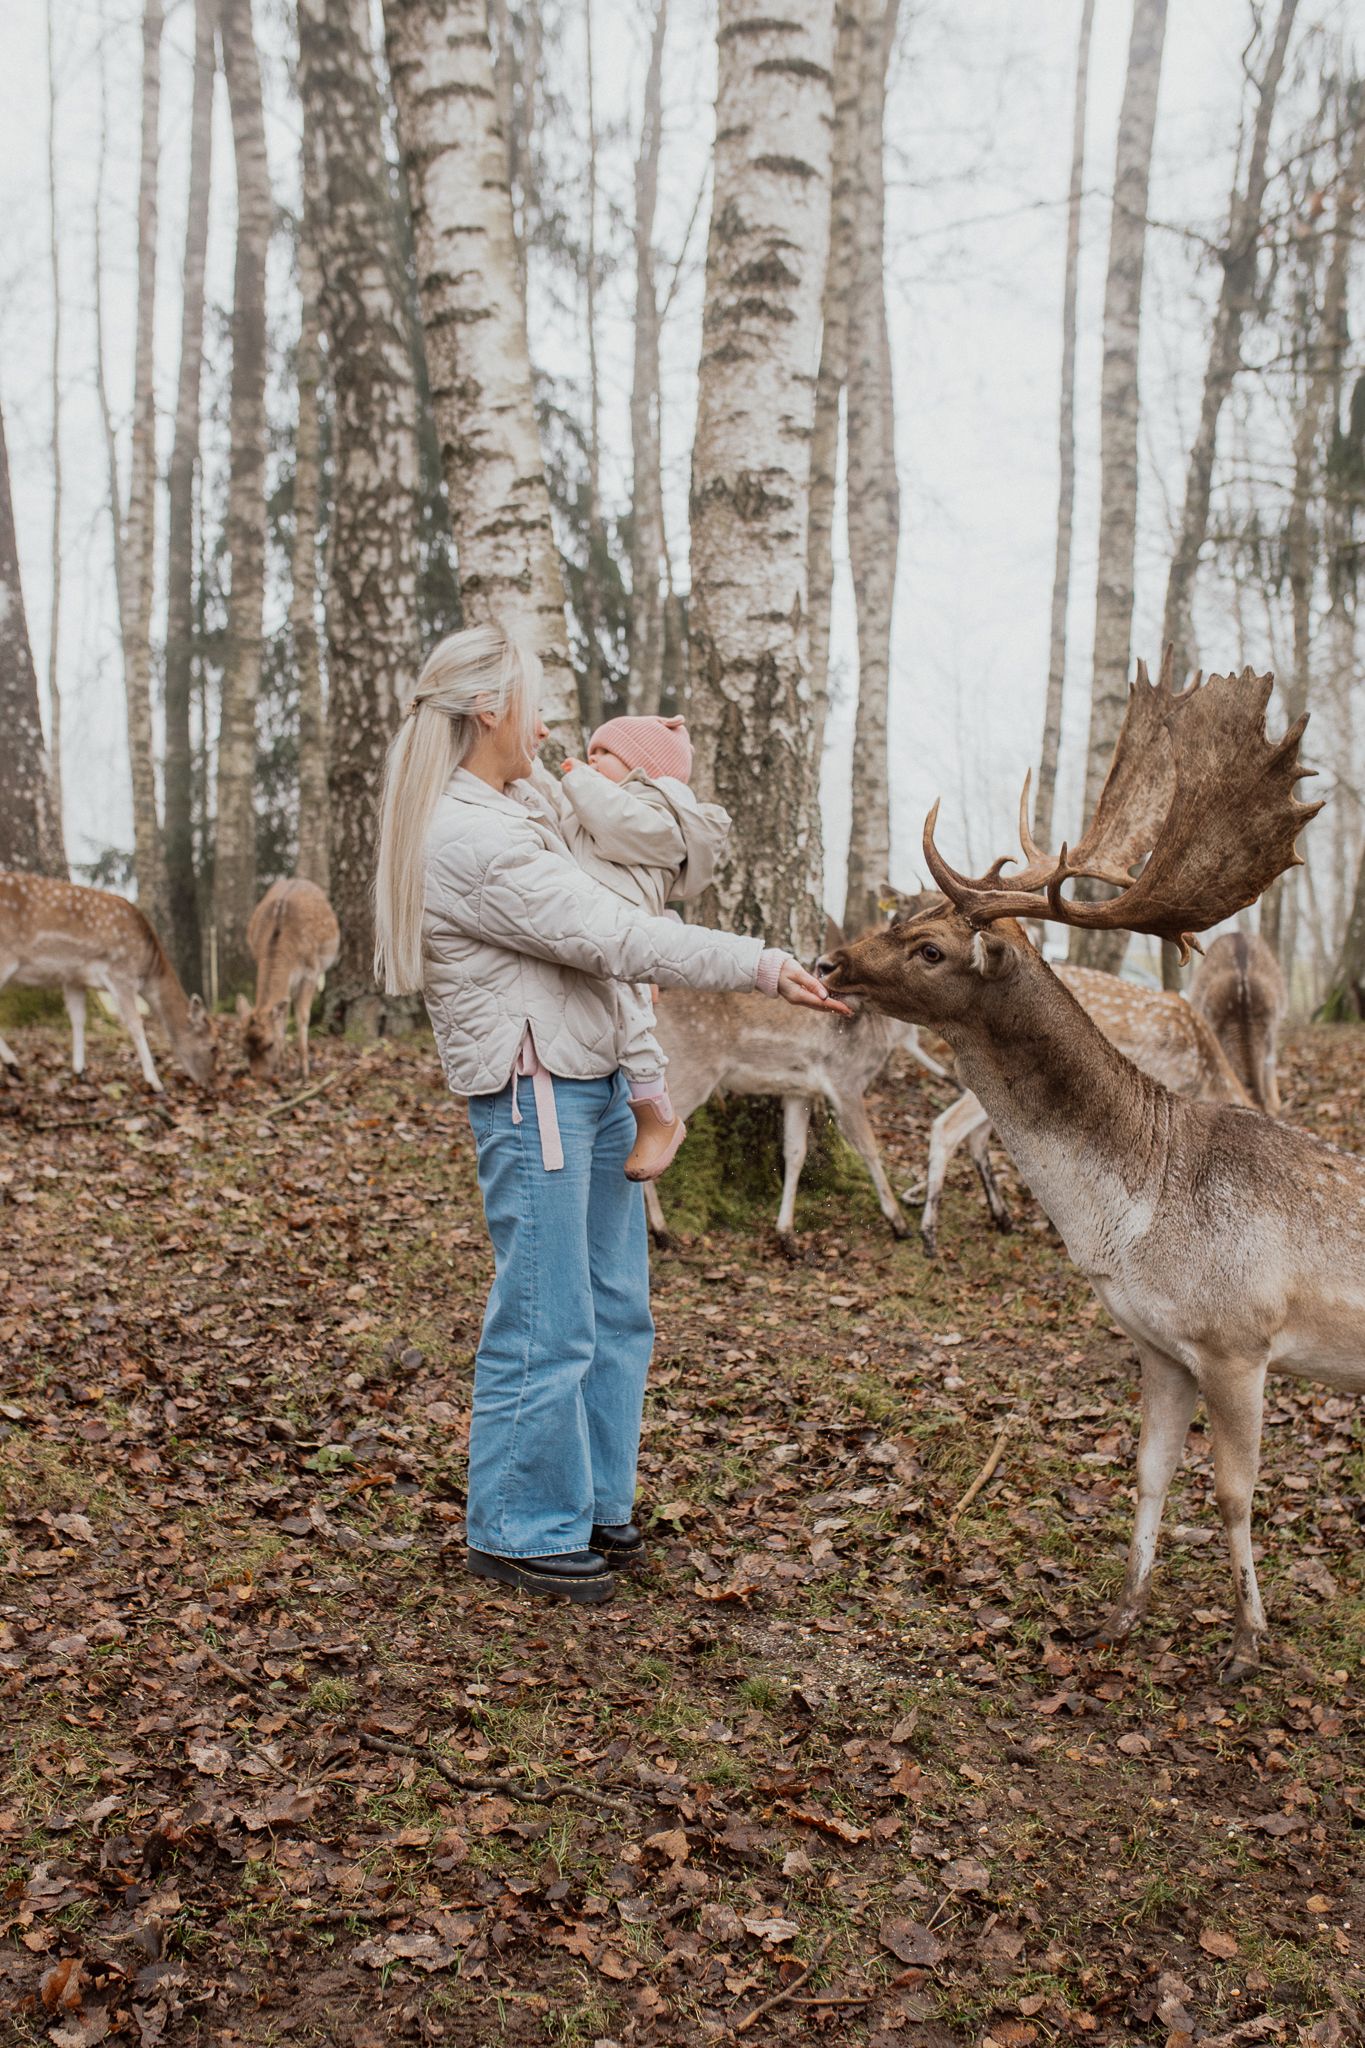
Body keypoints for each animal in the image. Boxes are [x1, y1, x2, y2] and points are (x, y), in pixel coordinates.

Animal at [0, 871, 217, 1091]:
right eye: (213, 1047)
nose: (208, 1083)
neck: (147, 967)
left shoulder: (74, 978)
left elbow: (78, 1018)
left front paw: (79, 1070)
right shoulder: (121, 973)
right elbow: (135, 1024)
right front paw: (155, 1082)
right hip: (5, 955)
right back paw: (12, 1062)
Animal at [236, 878, 339, 1079]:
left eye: (269, 1044)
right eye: (242, 1048)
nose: (259, 1077)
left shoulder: (310, 972)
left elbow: (302, 1017)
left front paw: (304, 1071)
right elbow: (282, 1019)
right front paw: (283, 1066)